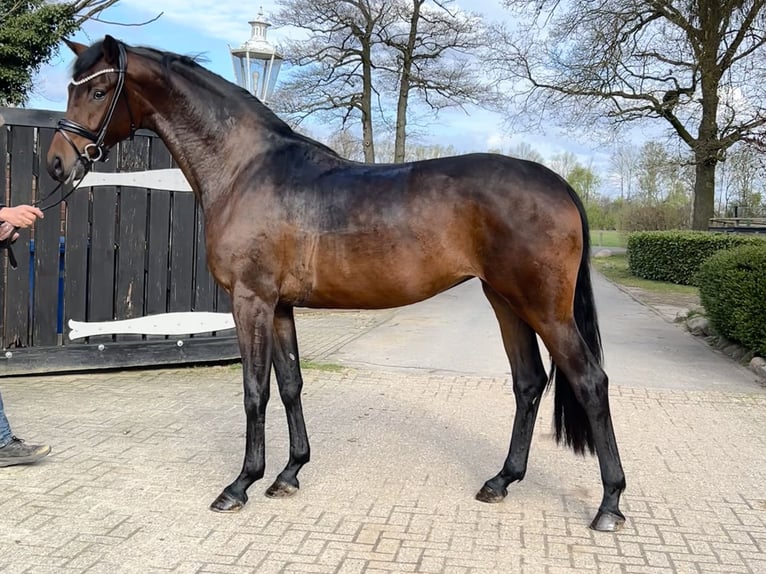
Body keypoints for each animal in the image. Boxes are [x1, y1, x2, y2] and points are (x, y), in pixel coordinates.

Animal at [47, 36, 626, 532]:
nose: (56, 163)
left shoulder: (250, 300)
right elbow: (290, 384)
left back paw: (610, 504)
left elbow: (254, 390)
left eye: (98, 90)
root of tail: (556, 183)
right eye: (72, 87)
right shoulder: (279, 306)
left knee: (590, 380)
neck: (245, 169)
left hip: (544, 308)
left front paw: (240, 485)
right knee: (528, 383)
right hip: (505, 301)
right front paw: (289, 473)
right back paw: (501, 481)